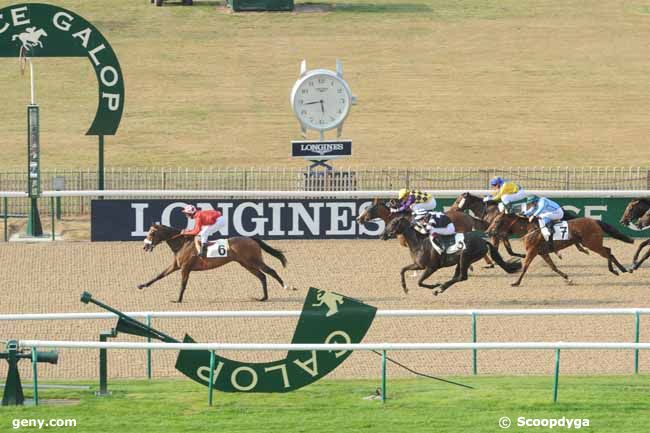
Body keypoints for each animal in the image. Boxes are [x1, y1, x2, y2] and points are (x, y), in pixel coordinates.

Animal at [138, 224, 288, 302]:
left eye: (152, 233)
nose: (145, 246)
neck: (182, 243)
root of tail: (251, 238)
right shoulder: (176, 265)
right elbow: (159, 275)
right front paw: (142, 285)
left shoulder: (185, 268)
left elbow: (183, 284)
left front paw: (178, 300)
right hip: (245, 263)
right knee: (262, 276)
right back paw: (263, 297)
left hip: (253, 260)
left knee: (271, 271)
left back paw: (286, 286)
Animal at [380, 218, 520, 296]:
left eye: (393, 223)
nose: (382, 235)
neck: (419, 243)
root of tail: (483, 241)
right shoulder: (419, 265)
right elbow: (402, 270)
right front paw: (405, 288)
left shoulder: (431, 267)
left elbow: (419, 282)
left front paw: (435, 285)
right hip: (461, 261)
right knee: (457, 276)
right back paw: (440, 289)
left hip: (465, 257)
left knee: (462, 277)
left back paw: (440, 288)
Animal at [488, 213, 632, 286]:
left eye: (496, 221)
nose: (488, 232)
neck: (530, 229)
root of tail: (595, 221)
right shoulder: (542, 252)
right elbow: (553, 267)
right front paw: (568, 278)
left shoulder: (532, 251)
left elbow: (525, 267)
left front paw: (516, 282)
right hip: (593, 243)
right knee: (608, 250)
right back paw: (619, 269)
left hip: (592, 244)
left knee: (607, 252)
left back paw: (621, 269)